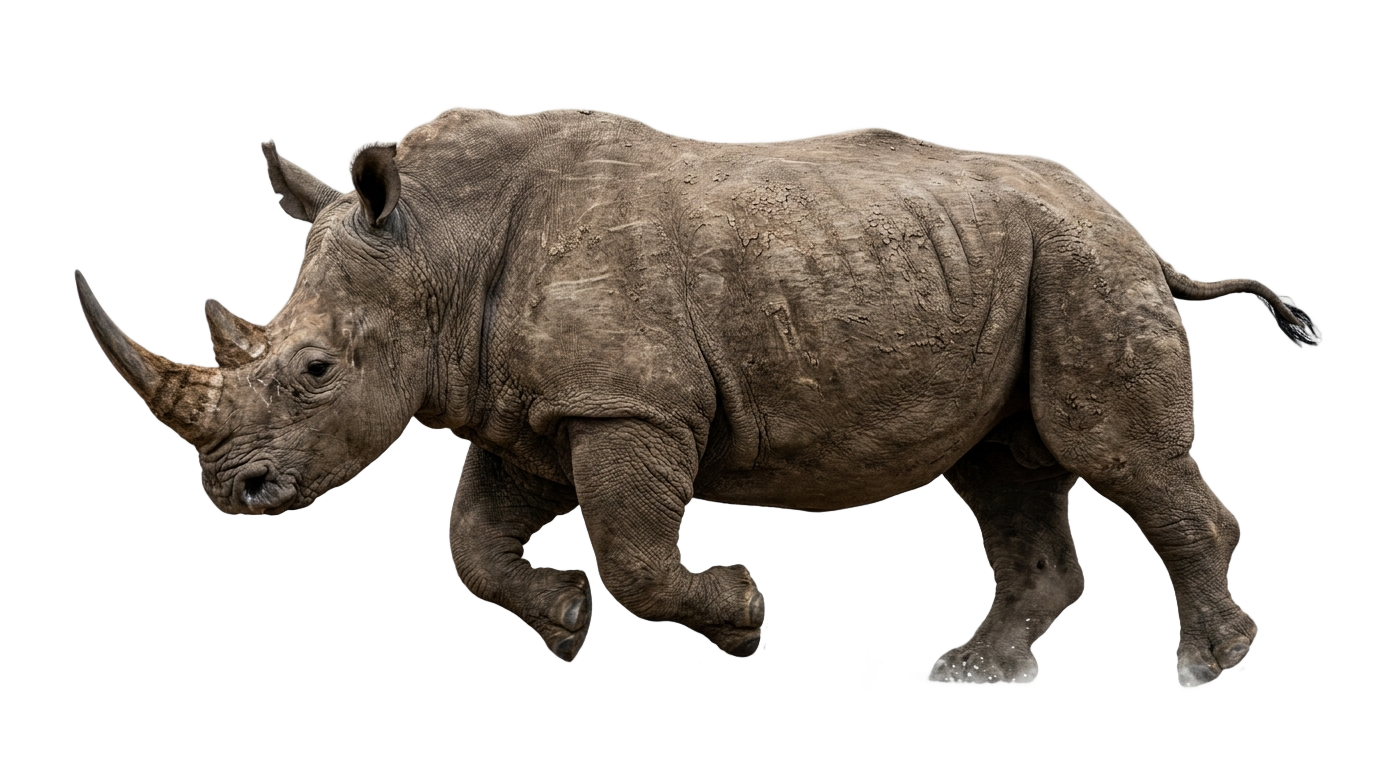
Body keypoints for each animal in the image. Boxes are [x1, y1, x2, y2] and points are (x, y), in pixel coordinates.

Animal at [74, 109, 1316, 683]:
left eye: (314, 370)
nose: (233, 494)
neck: (438, 247)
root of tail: (1131, 226)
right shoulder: (530, 411)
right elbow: (472, 545)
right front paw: (568, 624)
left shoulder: (630, 403)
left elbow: (631, 548)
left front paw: (747, 616)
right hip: (1019, 264)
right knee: (1001, 468)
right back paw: (974, 680)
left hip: (1080, 264)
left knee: (1109, 451)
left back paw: (1223, 671)